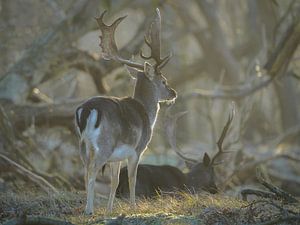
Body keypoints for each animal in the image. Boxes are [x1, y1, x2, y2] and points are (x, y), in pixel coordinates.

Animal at [75, 7, 177, 214]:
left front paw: (109, 210)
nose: (174, 93)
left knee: (85, 171)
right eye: (163, 81)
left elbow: (114, 181)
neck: (147, 113)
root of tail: (87, 110)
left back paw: (88, 207)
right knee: (92, 171)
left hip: (83, 144)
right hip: (105, 143)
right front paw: (133, 207)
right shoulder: (138, 148)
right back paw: (89, 210)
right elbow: (132, 178)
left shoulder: (117, 157)